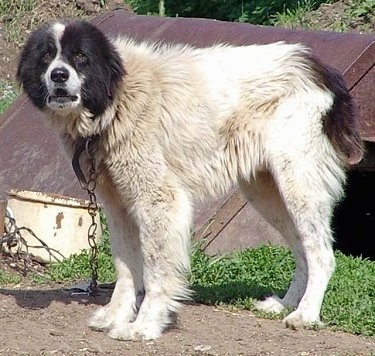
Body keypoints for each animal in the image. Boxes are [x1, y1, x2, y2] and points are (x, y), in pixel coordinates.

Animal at [16, 18, 364, 340]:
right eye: (47, 57)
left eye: (80, 56)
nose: (58, 75)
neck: (117, 99)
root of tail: (315, 67)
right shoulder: (118, 208)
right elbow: (126, 268)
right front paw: (116, 315)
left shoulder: (158, 201)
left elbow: (155, 272)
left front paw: (144, 325)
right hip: (267, 193)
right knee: (302, 250)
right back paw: (286, 304)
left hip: (298, 185)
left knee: (320, 253)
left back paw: (306, 314)